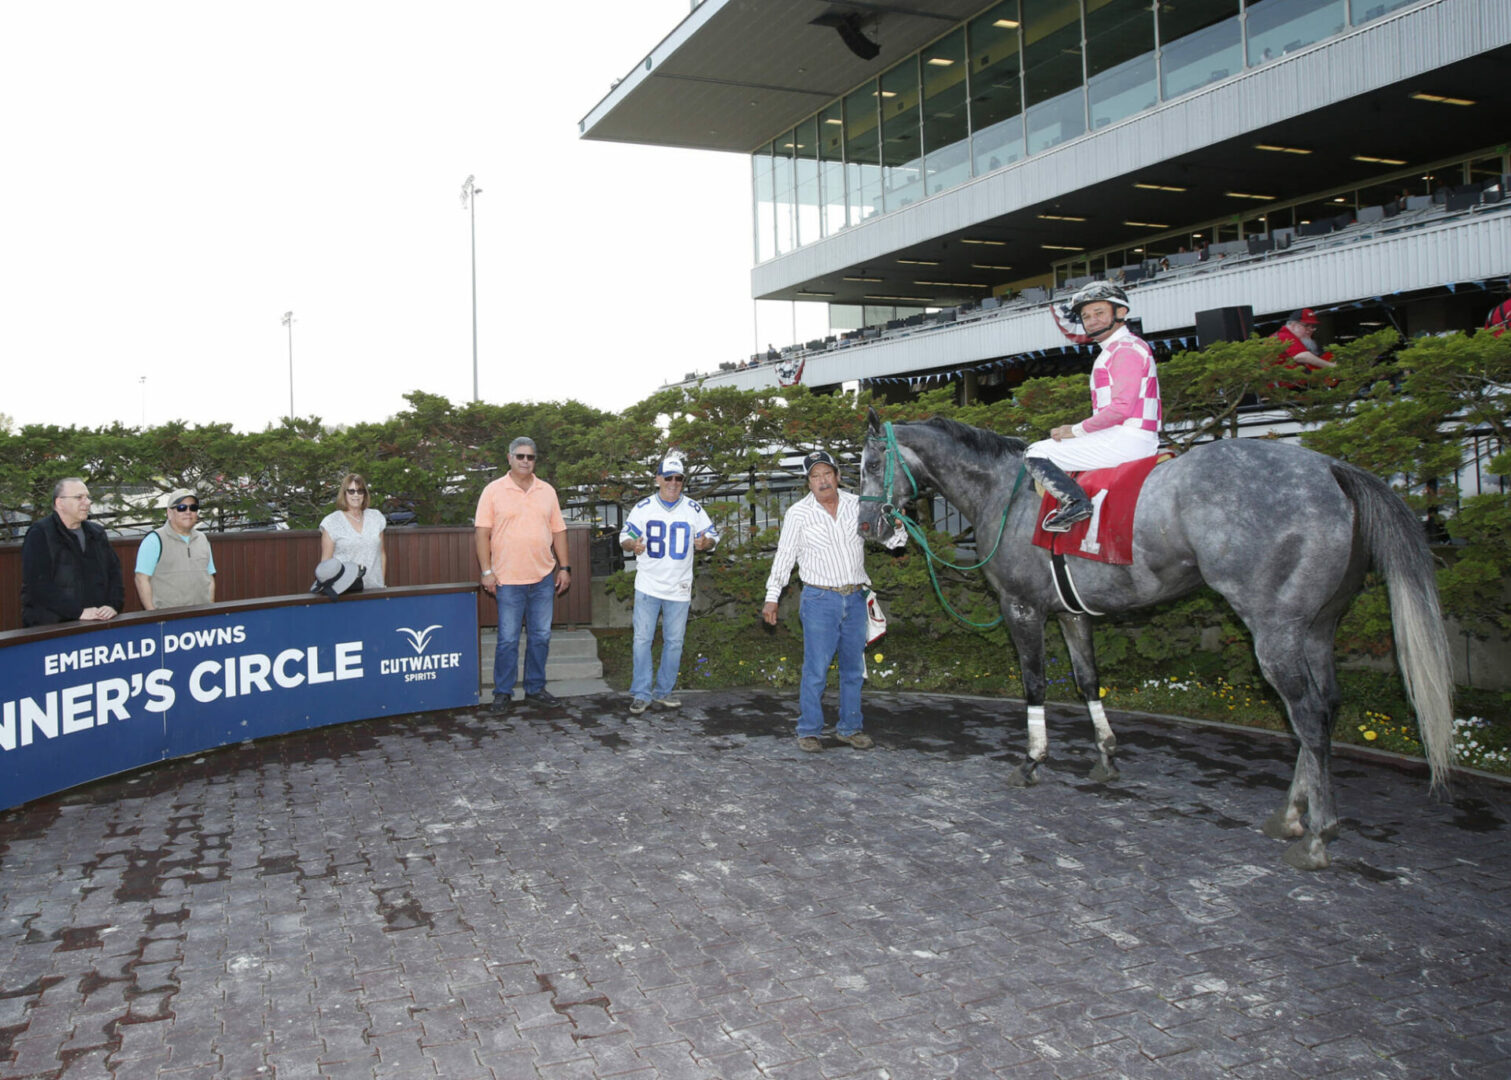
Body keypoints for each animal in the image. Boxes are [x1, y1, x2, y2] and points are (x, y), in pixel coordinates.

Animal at [856, 408, 1455, 870]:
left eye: (869, 464)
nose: (868, 528)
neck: (1005, 492)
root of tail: (1330, 466)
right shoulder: (1071, 612)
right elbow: (1087, 680)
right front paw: (1106, 755)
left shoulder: (1022, 608)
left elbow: (1034, 684)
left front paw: (1032, 761)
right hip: (1317, 626)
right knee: (1325, 708)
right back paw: (1291, 815)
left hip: (1275, 629)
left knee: (1305, 714)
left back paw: (1315, 834)